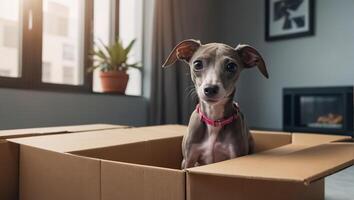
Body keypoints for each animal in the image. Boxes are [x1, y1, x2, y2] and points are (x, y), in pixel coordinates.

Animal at [163, 39, 268, 169]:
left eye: (231, 66)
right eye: (197, 64)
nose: (210, 89)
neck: (214, 120)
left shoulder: (235, 155)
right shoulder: (189, 159)